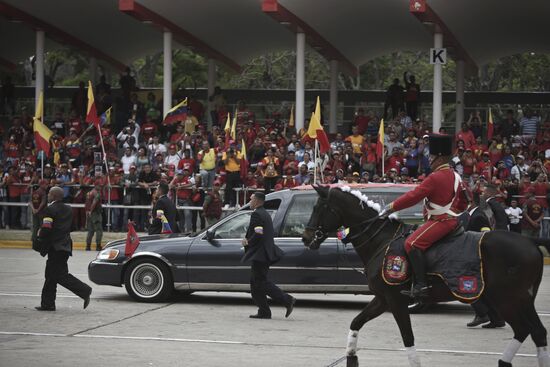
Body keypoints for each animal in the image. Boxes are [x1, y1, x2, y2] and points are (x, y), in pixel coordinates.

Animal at [302, 187, 550, 367]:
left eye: (319, 207)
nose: (305, 237)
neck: (382, 241)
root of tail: (530, 242)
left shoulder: (396, 300)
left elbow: (408, 337)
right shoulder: (382, 299)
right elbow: (356, 322)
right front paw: (351, 356)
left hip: (506, 299)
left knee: (526, 329)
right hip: (521, 299)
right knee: (534, 331)